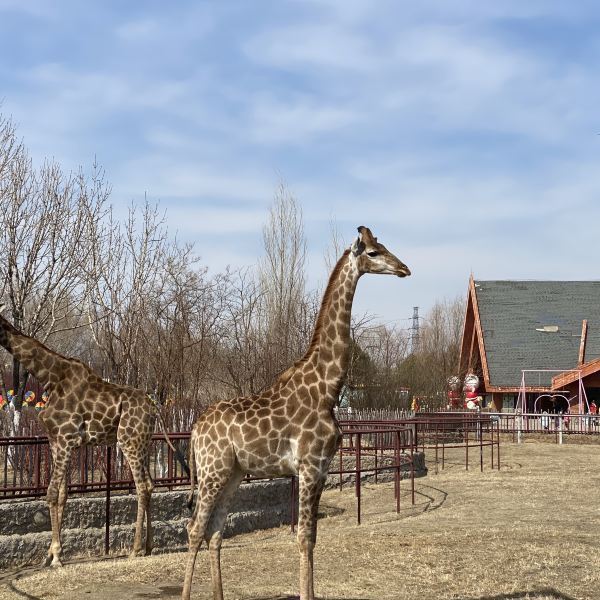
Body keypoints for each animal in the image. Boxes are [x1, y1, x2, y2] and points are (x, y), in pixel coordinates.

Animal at [0, 304, 157, 568]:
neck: (50, 377)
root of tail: (154, 410)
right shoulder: (56, 441)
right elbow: (63, 494)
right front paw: (51, 554)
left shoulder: (65, 439)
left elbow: (51, 493)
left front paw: (55, 557)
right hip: (143, 443)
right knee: (151, 484)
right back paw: (148, 546)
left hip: (129, 441)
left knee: (142, 486)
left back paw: (135, 549)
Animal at [180, 226, 410, 600]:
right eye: (374, 252)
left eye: (384, 246)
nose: (404, 268)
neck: (327, 389)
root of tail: (195, 428)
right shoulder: (309, 467)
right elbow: (303, 537)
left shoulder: (323, 468)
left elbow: (312, 537)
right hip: (213, 472)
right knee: (194, 528)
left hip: (232, 473)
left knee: (215, 530)